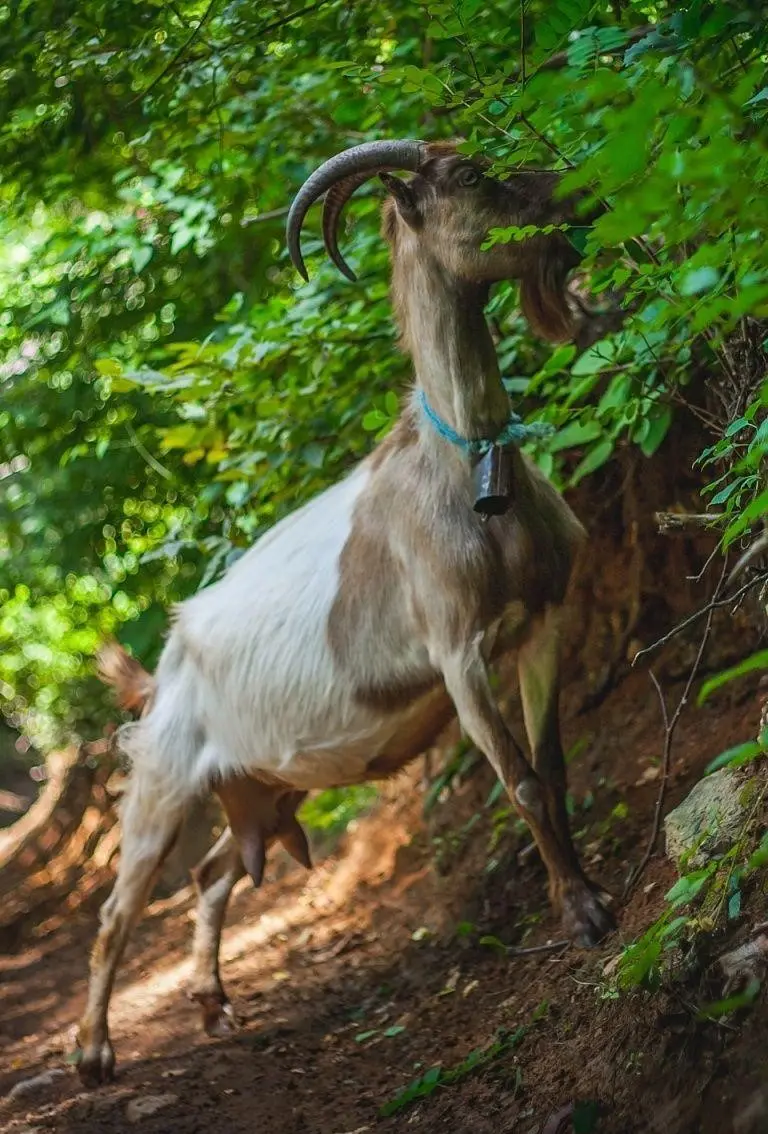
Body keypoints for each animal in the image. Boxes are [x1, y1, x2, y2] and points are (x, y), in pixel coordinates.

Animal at [74, 141, 612, 1088]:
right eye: (471, 177)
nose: (579, 193)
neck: (468, 471)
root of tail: (161, 668)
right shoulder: (459, 655)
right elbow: (519, 782)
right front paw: (580, 916)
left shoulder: (542, 623)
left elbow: (550, 768)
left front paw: (584, 892)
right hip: (163, 783)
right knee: (118, 909)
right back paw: (95, 1053)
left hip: (266, 788)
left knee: (213, 876)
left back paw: (212, 1003)